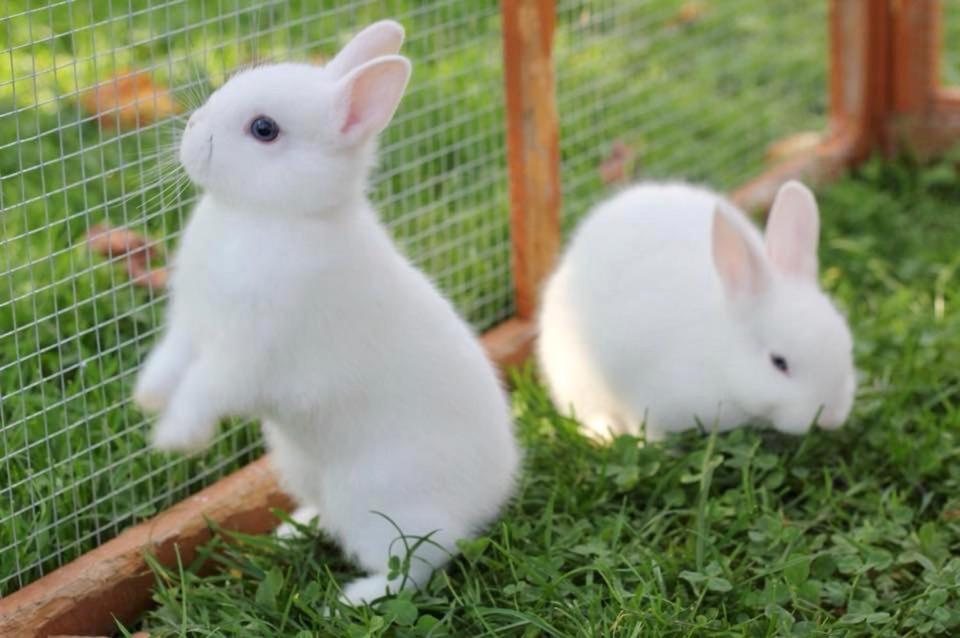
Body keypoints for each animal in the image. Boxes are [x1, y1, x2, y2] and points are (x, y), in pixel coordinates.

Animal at [132, 20, 519, 605]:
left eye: (264, 129)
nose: (194, 129)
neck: (265, 217)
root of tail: (492, 495)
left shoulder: (246, 353)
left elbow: (204, 387)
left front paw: (176, 438)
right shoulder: (192, 327)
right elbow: (171, 362)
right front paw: (147, 398)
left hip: (379, 504)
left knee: (422, 558)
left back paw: (353, 599)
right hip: (299, 467)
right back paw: (292, 531)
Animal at [537, 180, 856, 441]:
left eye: (847, 349)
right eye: (778, 363)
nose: (830, 419)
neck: (720, 362)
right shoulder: (646, 398)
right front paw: (650, 447)